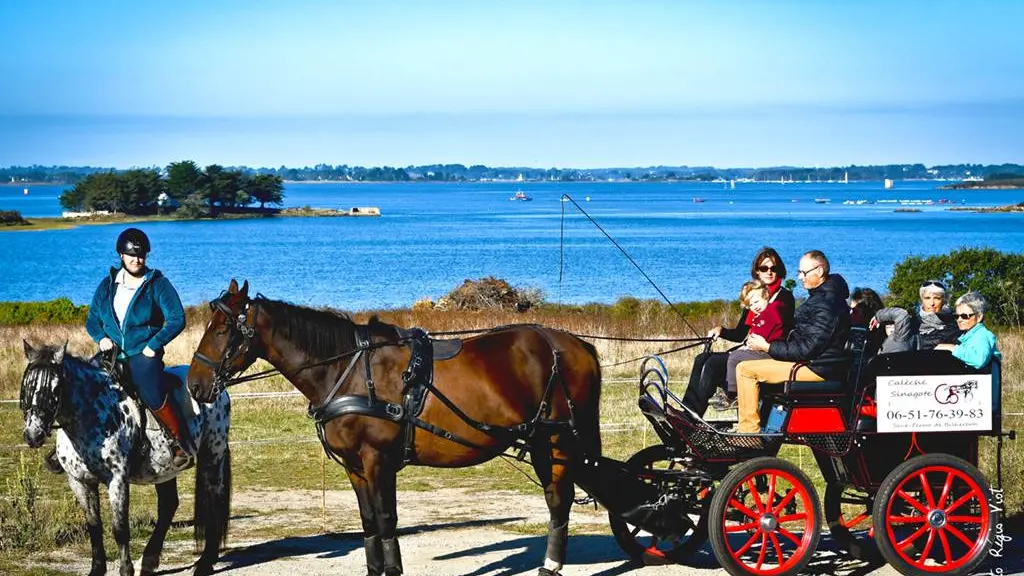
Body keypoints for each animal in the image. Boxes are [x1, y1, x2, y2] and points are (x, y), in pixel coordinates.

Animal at [20, 340, 233, 573]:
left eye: (55, 388)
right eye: (26, 386)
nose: (33, 435)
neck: (89, 415)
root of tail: (215, 388)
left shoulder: (117, 480)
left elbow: (120, 529)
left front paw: (125, 570)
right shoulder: (79, 481)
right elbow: (94, 526)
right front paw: (97, 569)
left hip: (213, 455)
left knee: (214, 501)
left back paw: (205, 562)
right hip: (164, 469)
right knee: (168, 506)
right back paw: (149, 560)